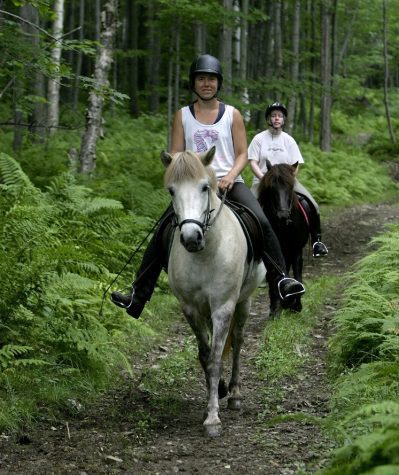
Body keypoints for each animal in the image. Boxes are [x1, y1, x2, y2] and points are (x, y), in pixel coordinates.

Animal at [161, 147, 268, 436]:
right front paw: (214, 393)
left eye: (204, 187)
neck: (206, 252)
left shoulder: (223, 307)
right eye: (171, 190)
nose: (190, 238)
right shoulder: (190, 308)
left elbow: (216, 358)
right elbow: (205, 355)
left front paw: (212, 418)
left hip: (244, 302)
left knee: (239, 341)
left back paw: (235, 395)